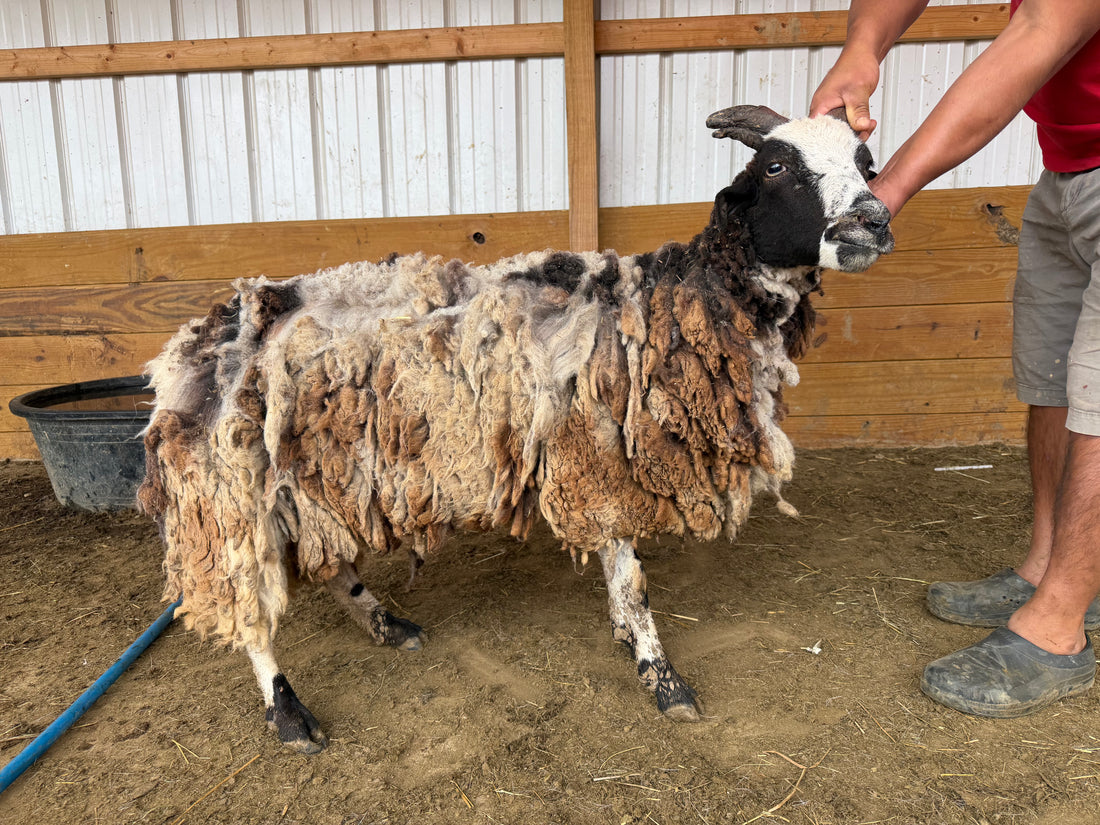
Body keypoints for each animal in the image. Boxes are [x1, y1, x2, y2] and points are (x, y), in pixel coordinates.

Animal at [139, 105, 894, 753]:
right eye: (776, 166)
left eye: (867, 162)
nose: (871, 223)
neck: (666, 306)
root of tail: (193, 341)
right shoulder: (592, 457)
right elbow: (633, 577)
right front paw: (661, 673)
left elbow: (620, 571)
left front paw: (629, 637)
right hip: (231, 491)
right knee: (250, 597)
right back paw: (288, 711)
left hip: (316, 472)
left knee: (330, 558)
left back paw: (385, 623)